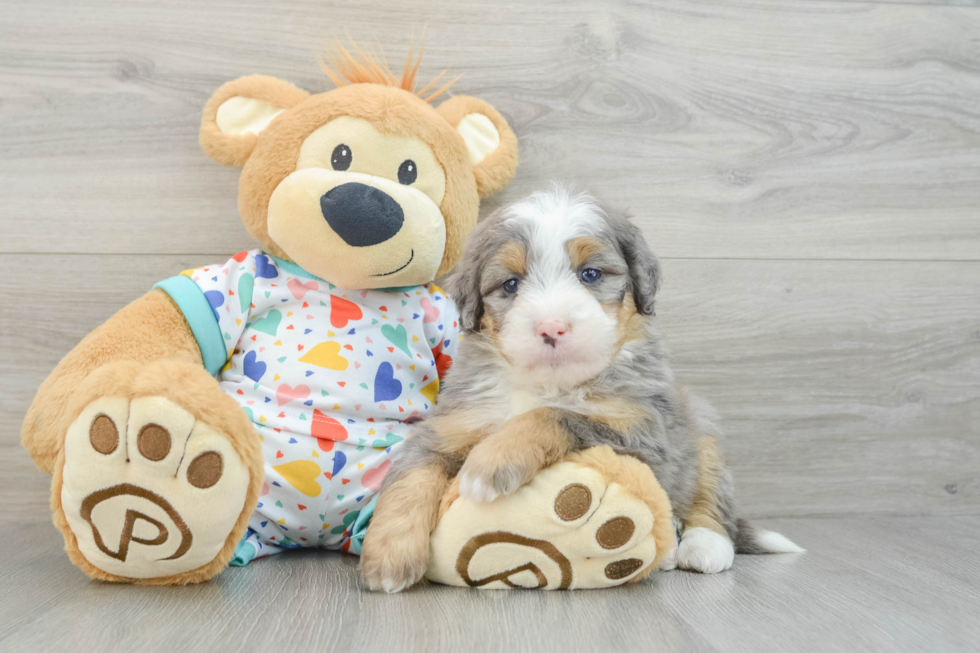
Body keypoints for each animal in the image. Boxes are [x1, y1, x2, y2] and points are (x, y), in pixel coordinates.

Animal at [360, 182, 804, 592]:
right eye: (510, 284)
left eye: (590, 274)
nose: (551, 326)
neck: (548, 383)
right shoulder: (452, 422)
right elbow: (411, 474)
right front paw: (388, 557)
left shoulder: (644, 433)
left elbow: (556, 415)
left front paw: (491, 462)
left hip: (702, 430)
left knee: (710, 498)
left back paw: (703, 547)